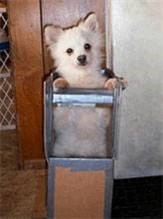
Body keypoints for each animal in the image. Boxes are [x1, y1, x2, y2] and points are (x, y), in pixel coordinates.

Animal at [45, 12, 127, 157]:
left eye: (87, 46)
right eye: (69, 51)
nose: (82, 57)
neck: (82, 77)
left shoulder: (103, 115)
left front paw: (113, 82)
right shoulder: (61, 121)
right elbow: (63, 109)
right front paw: (60, 82)